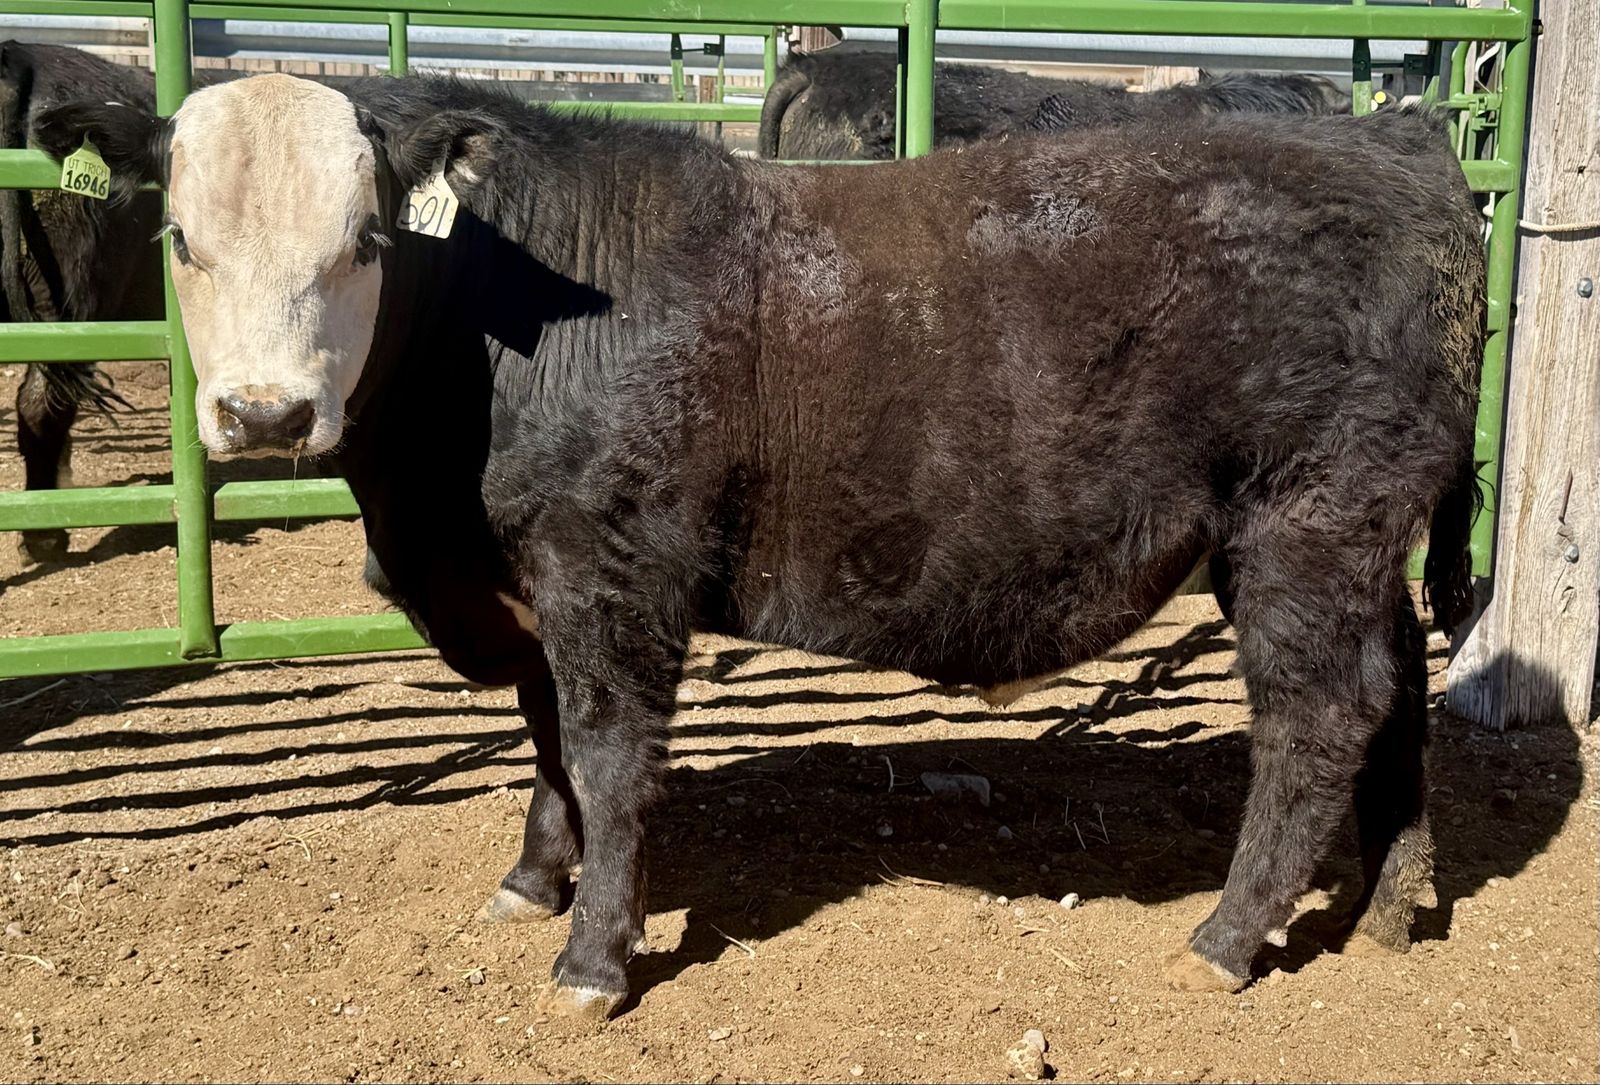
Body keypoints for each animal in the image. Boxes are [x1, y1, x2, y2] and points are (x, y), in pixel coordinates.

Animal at [36, 72, 1482, 1018]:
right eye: (179, 235)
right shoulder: (533, 594)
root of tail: (1398, 142)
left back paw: (1230, 934)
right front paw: (532, 881)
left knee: (1317, 717)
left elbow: (609, 759)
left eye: (367, 238)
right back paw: (1390, 901)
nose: (266, 413)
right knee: (1397, 695)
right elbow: (549, 743)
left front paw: (593, 964)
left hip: (1304, 522)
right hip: (1361, 540)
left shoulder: (612, 570)